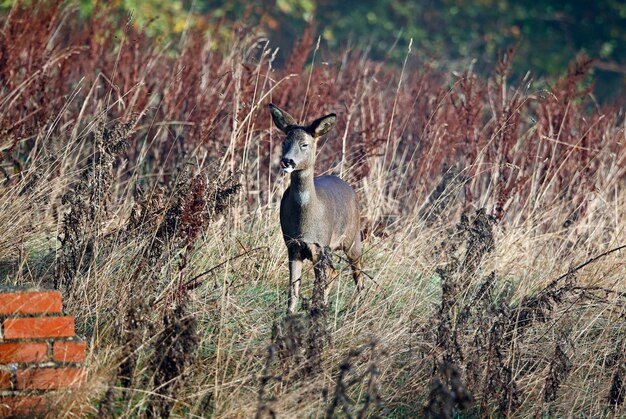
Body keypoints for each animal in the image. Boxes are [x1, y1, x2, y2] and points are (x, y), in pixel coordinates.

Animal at [266, 104, 364, 316]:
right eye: (285, 141)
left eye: (304, 144)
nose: (287, 161)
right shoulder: (292, 245)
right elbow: (293, 288)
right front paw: (290, 314)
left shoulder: (319, 245)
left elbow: (317, 287)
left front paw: (316, 313)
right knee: (334, 272)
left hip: (353, 239)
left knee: (357, 275)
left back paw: (354, 309)